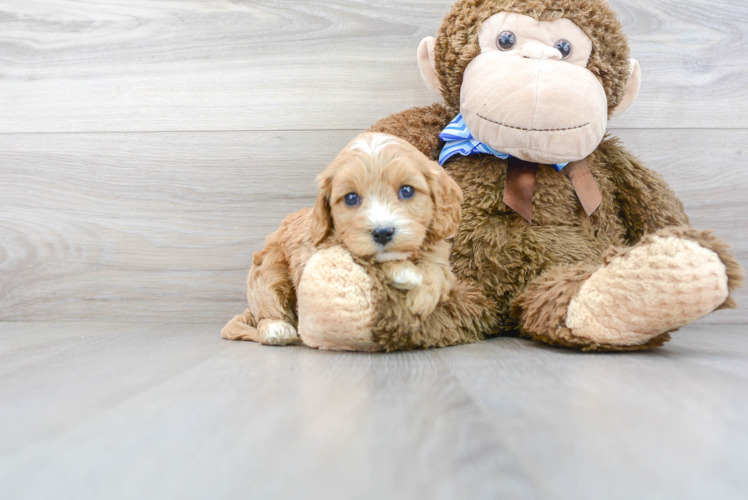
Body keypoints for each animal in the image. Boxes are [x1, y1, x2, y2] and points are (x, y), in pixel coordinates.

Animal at [221, 131, 462, 346]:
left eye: (407, 191)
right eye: (351, 198)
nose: (382, 232)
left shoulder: (441, 258)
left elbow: (439, 272)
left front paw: (422, 297)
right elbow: (363, 258)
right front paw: (405, 273)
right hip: (269, 272)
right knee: (268, 303)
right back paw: (276, 329)